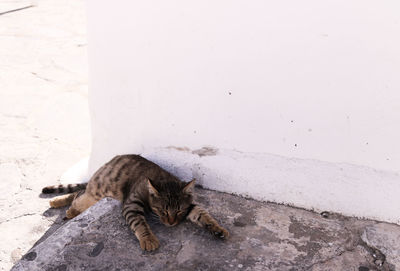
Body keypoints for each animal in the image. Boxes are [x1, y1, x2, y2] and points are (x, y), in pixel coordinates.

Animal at [42, 155, 230, 253]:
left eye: (178, 211)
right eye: (162, 211)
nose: (171, 223)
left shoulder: (190, 206)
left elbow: (204, 215)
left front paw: (217, 228)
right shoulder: (131, 205)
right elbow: (140, 223)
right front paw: (149, 239)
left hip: (95, 195)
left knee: (78, 194)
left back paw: (61, 203)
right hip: (98, 189)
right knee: (79, 195)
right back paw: (65, 206)